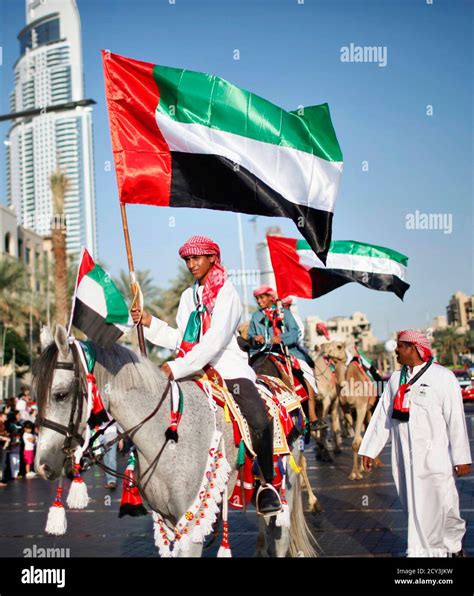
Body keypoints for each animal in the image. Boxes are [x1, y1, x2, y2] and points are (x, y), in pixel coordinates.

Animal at [35, 328, 316, 556]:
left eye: (61, 395)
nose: (41, 466)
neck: (167, 436)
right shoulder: (168, 520)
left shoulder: (191, 528)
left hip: (286, 483)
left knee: (279, 535)